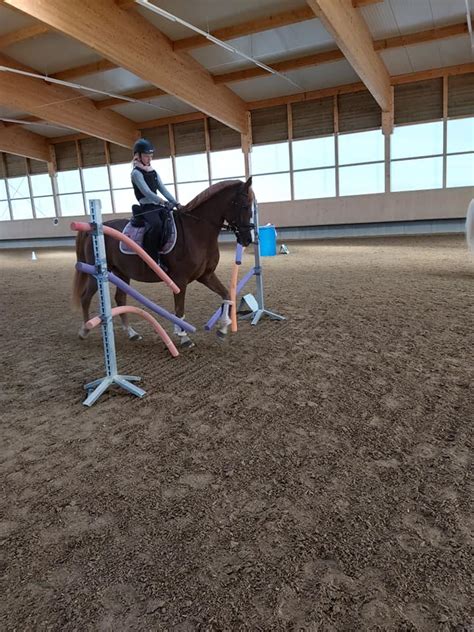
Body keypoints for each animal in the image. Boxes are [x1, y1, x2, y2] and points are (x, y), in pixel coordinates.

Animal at [71, 177, 254, 346]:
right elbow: (179, 310)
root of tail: (94, 227)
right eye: (245, 206)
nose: (247, 239)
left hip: (121, 274)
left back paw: (131, 333)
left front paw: (222, 328)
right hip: (97, 274)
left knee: (120, 299)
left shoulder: (206, 276)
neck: (196, 231)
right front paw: (184, 337)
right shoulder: (180, 281)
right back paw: (84, 330)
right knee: (86, 298)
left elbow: (226, 295)